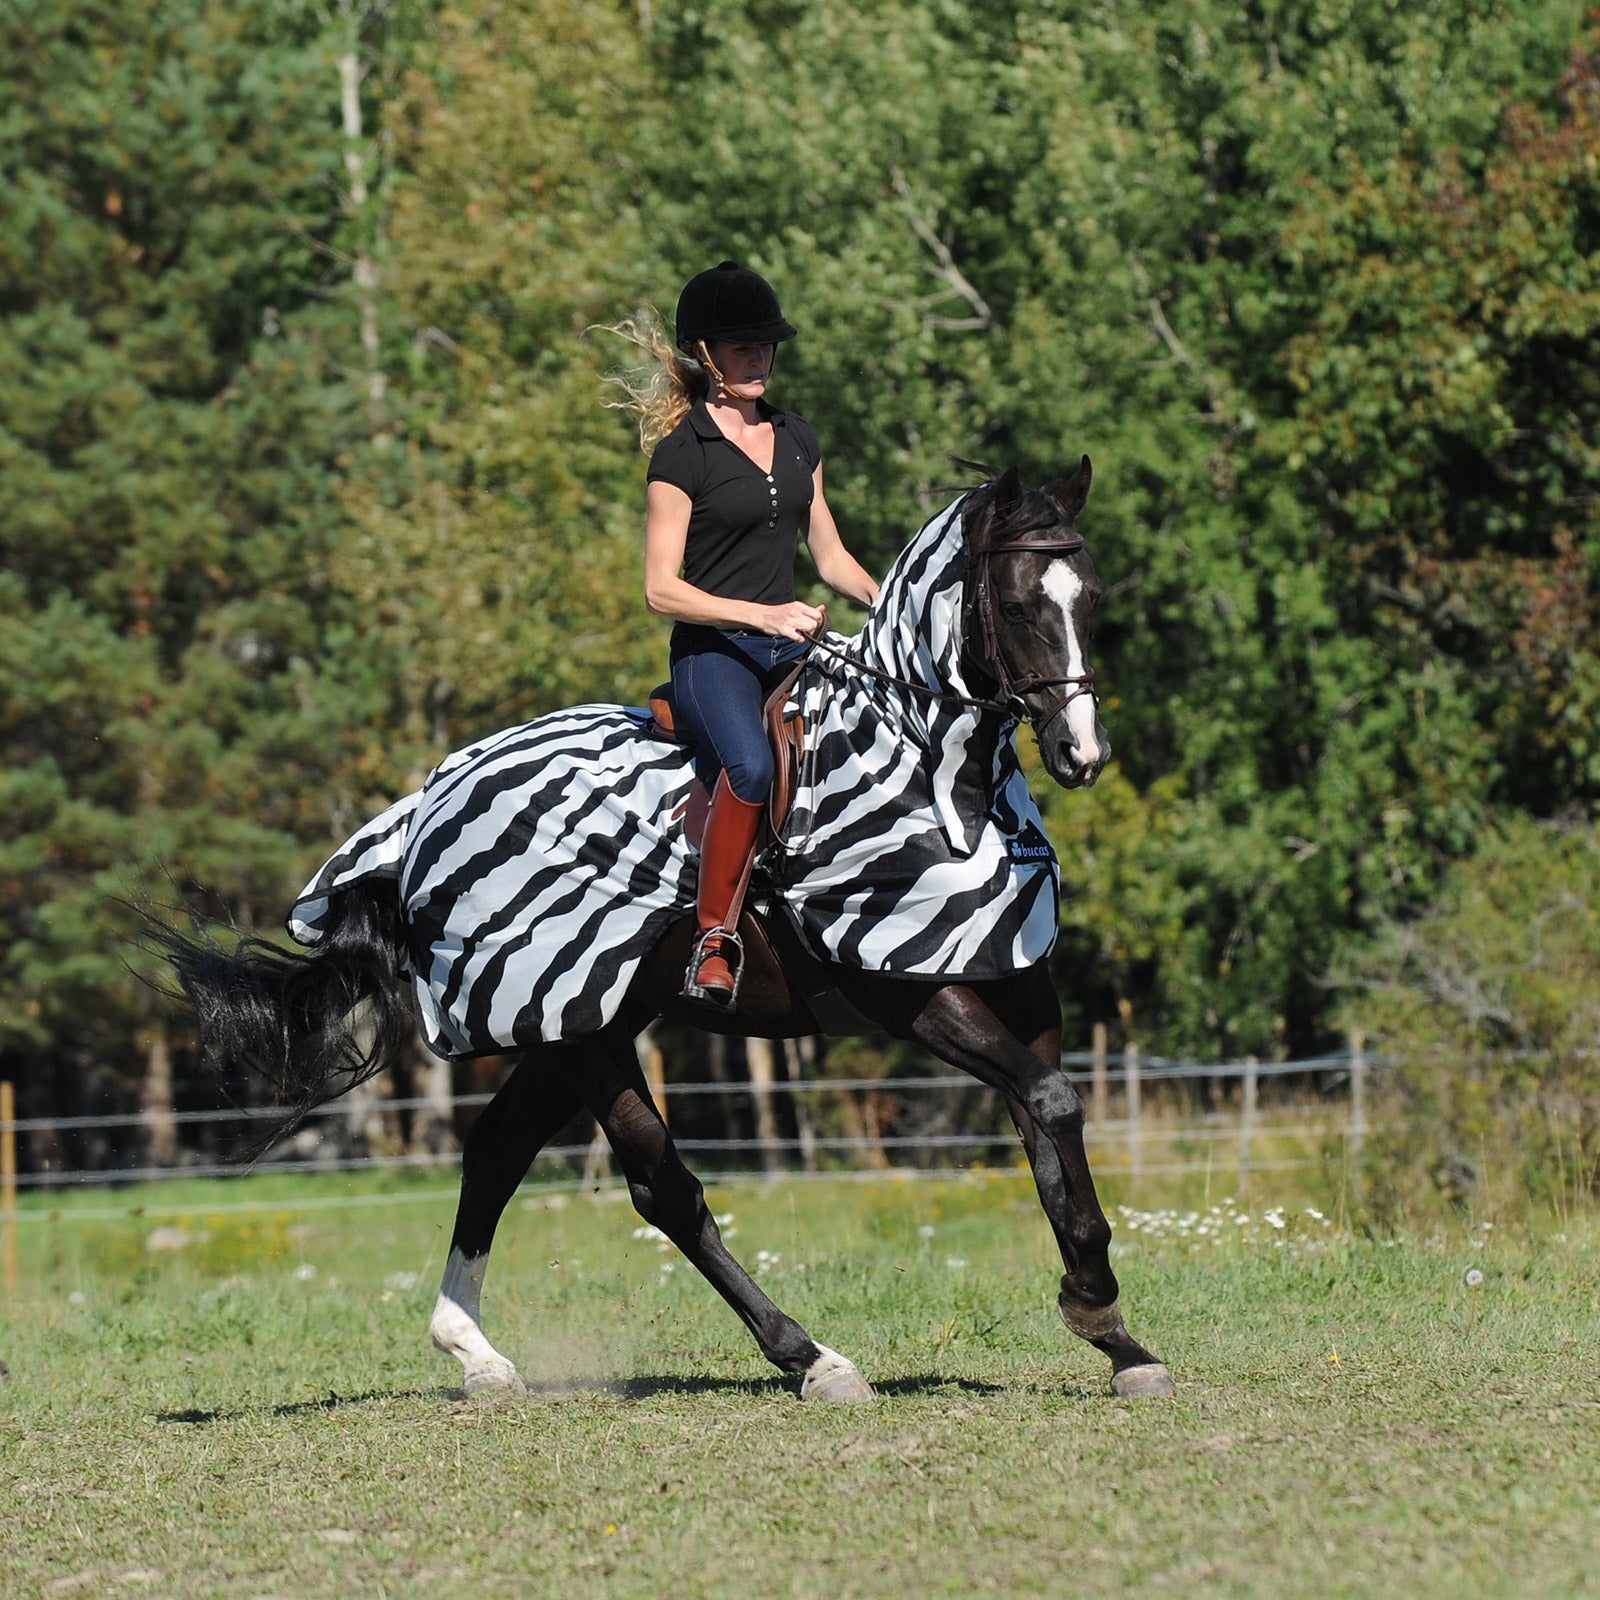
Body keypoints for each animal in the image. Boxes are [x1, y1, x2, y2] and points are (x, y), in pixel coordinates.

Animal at [157, 458, 1176, 1405]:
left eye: (1089, 597)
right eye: (1018, 603)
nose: (1084, 754)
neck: (933, 777)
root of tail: (425, 809)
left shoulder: (1017, 983)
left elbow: (1050, 1127)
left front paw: (1117, 1337)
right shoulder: (908, 991)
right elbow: (1050, 1105)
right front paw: (1094, 1307)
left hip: (574, 1020)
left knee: (495, 1153)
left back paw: (476, 1354)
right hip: (587, 1037)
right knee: (663, 1189)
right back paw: (812, 1358)